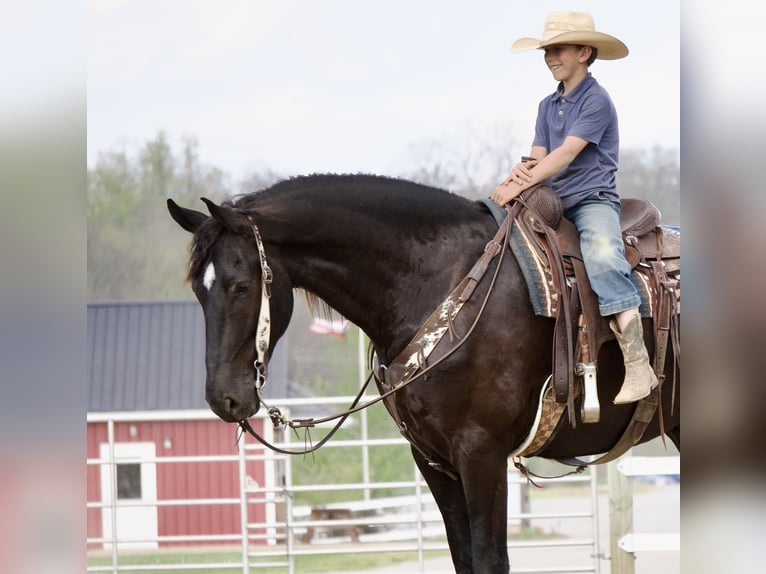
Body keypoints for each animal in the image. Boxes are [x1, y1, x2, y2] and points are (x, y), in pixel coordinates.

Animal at [167, 173, 680, 573]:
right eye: (198, 289)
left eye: (241, 285)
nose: (223, 398)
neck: (444, 282)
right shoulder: (433, 460)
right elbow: (464, 558)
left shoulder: (481, 453)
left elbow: (491, 560)